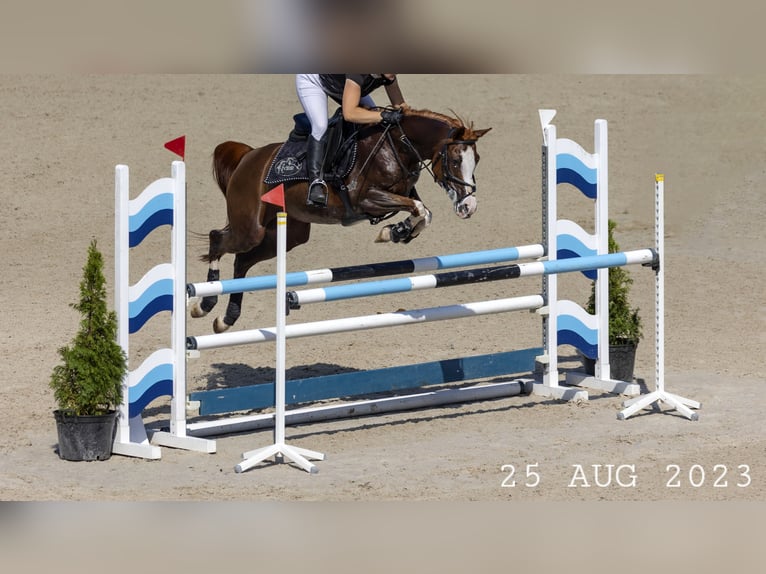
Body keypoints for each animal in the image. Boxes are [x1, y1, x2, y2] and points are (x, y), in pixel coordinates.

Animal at [191, 106, 491, 333]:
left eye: (476, 159)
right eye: (455, 160)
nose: (469, 206)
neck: (395, 145)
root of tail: (248, 157)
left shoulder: (398, 194)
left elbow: (423, 211)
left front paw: (398, 231)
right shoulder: (364, 200)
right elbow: (419, 208)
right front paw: (393, 231)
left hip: (289, 235)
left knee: (242, 261)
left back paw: (225, 319)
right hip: (251, 228)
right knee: (218, 238)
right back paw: (203, 305)